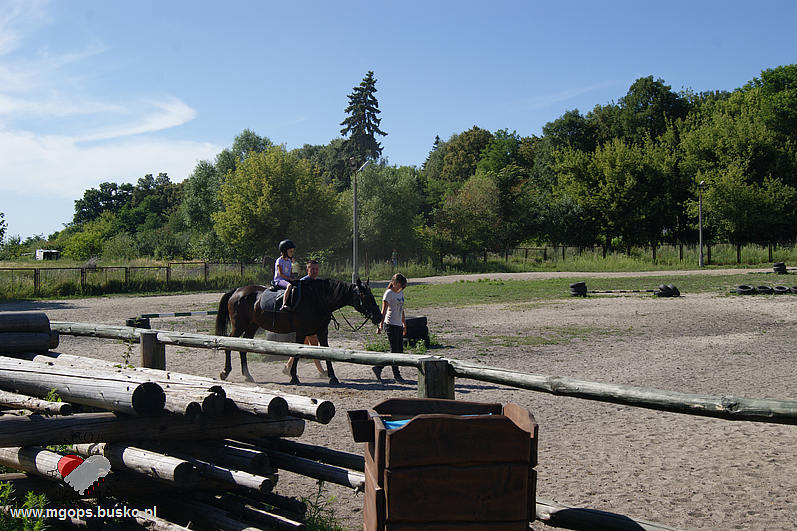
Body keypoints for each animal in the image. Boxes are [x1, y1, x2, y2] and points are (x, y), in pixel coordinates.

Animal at [216, 276, 380, 384]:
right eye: (366, 297)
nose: (378, 316)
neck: (317, 299)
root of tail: (237, 291)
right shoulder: (301, 332)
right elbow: (297, 353)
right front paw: (294, 377)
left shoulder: (322, 332)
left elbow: (326, 353)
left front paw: (333, 377)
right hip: (239, 326)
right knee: (229, 344)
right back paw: (225, 372)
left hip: (252, 326)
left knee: (243, 348)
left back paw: (247, 376)